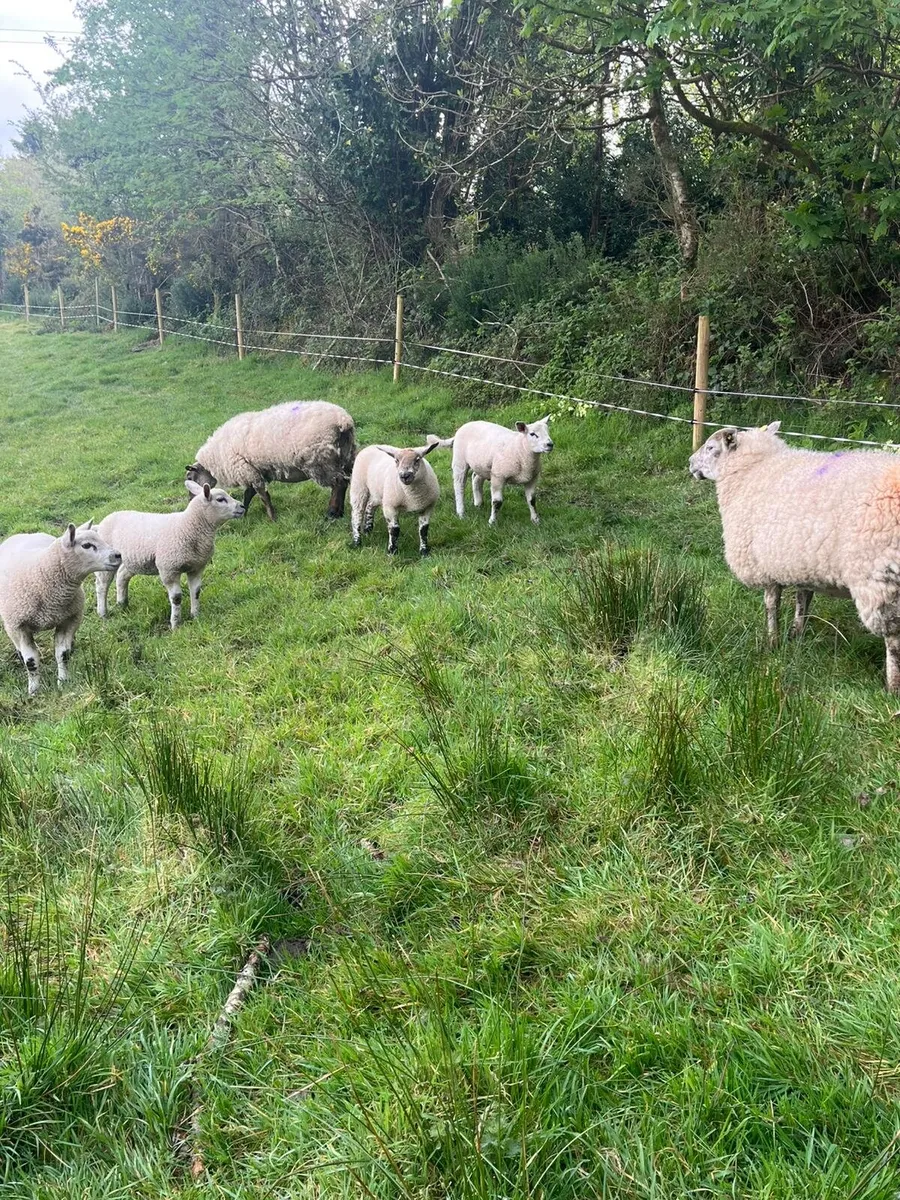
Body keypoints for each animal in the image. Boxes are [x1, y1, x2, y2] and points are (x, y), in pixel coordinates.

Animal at [0, 521, 122, 695]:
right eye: (86, 545)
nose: (118, 555)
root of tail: (27, 534)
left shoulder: (69, 619)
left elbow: (63, 654)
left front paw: (63, 682)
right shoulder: (18, 625)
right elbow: (31, 661)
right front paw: (34, 690)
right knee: (19, 648)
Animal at [95, 481, 245, 629]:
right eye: (220, 499)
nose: (242, 506)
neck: (188, 526)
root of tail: (102, 522)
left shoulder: (197, 567)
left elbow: (196, 592)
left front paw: (196, 616)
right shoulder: (168, 569)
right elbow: (176, 598)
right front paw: (175, 625)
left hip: (133, 560)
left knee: (122, 575)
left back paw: (122, 604)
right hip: (106, 561)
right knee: (102, 585)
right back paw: (103, 613)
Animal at [185, 400, 356, 521]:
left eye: (190, 477)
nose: (191, 501)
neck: (216, 458)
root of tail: (343, 420)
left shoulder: (248, 471)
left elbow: (263, 496)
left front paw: (272, 518)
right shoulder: (254, 470)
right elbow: (249, 494)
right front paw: (243, 513)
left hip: (320, 461)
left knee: (339, 483)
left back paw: (332, 513)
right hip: (346, 456)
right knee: (347, 481)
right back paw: (339, 512)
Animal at [689, 420, 900, 690]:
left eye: (711, 447)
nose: (690, 463)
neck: (751, 470)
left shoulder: (764, 564)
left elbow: (771, 605)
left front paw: (772, 642)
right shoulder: (802, 560)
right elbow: (803, 601)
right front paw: (795, 635)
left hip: (880, 579)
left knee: (893, 640)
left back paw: (892, 687)